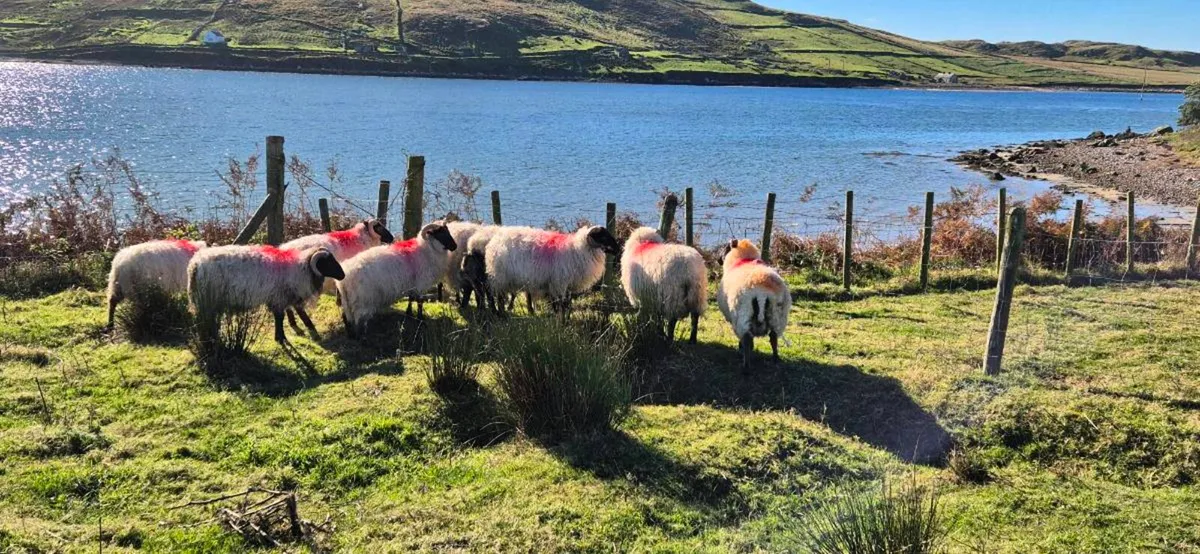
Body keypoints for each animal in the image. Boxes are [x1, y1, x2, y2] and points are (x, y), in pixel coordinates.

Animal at [187, 245, 345, 344]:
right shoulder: (279, 298)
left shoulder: (279, 299)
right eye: (328, 262)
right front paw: (281, 338)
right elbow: (280, 318)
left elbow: (285, 316)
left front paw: (280, 336)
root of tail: (194, 265)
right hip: (208, 299)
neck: (301, 269)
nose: (342, 275)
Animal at [485, 225, 620, 317]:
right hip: (500, 277)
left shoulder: (566, 286)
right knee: (496, 295)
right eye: (603, 236)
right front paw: (560, 323)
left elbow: (567, 305)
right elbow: (559, 305)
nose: (618, 248)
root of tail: (496, 239)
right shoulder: (558, 284)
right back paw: (500, 312)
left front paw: (566, 319)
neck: (578, 249)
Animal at [717, 239, 791, 371]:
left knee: (747, 339)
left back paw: (746, 366)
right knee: (774, 337)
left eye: (725, 247)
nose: (718, 260)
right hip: (778, 315)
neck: (742, 260)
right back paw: (776, 359)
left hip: (742, 315)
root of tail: (762, 293)